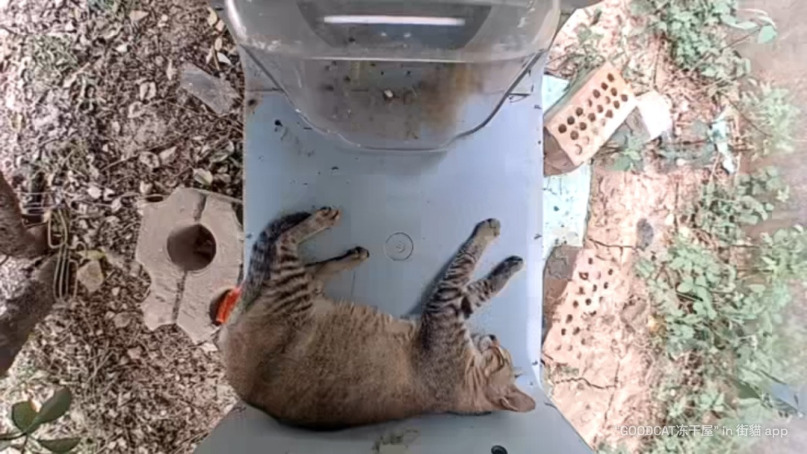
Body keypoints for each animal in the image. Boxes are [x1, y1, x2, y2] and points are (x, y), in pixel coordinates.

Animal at [220, 208, 535, 429]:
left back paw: (327, 232)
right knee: (301, 261)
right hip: (299, 291)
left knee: (286, 246)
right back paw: (346, 251)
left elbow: (466, 264)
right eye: (503, 355)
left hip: (293, 293)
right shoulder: (449, 307)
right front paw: (506, 265)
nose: (493, 337)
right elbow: (479, 282)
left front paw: (489, 238)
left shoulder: (443, 309)